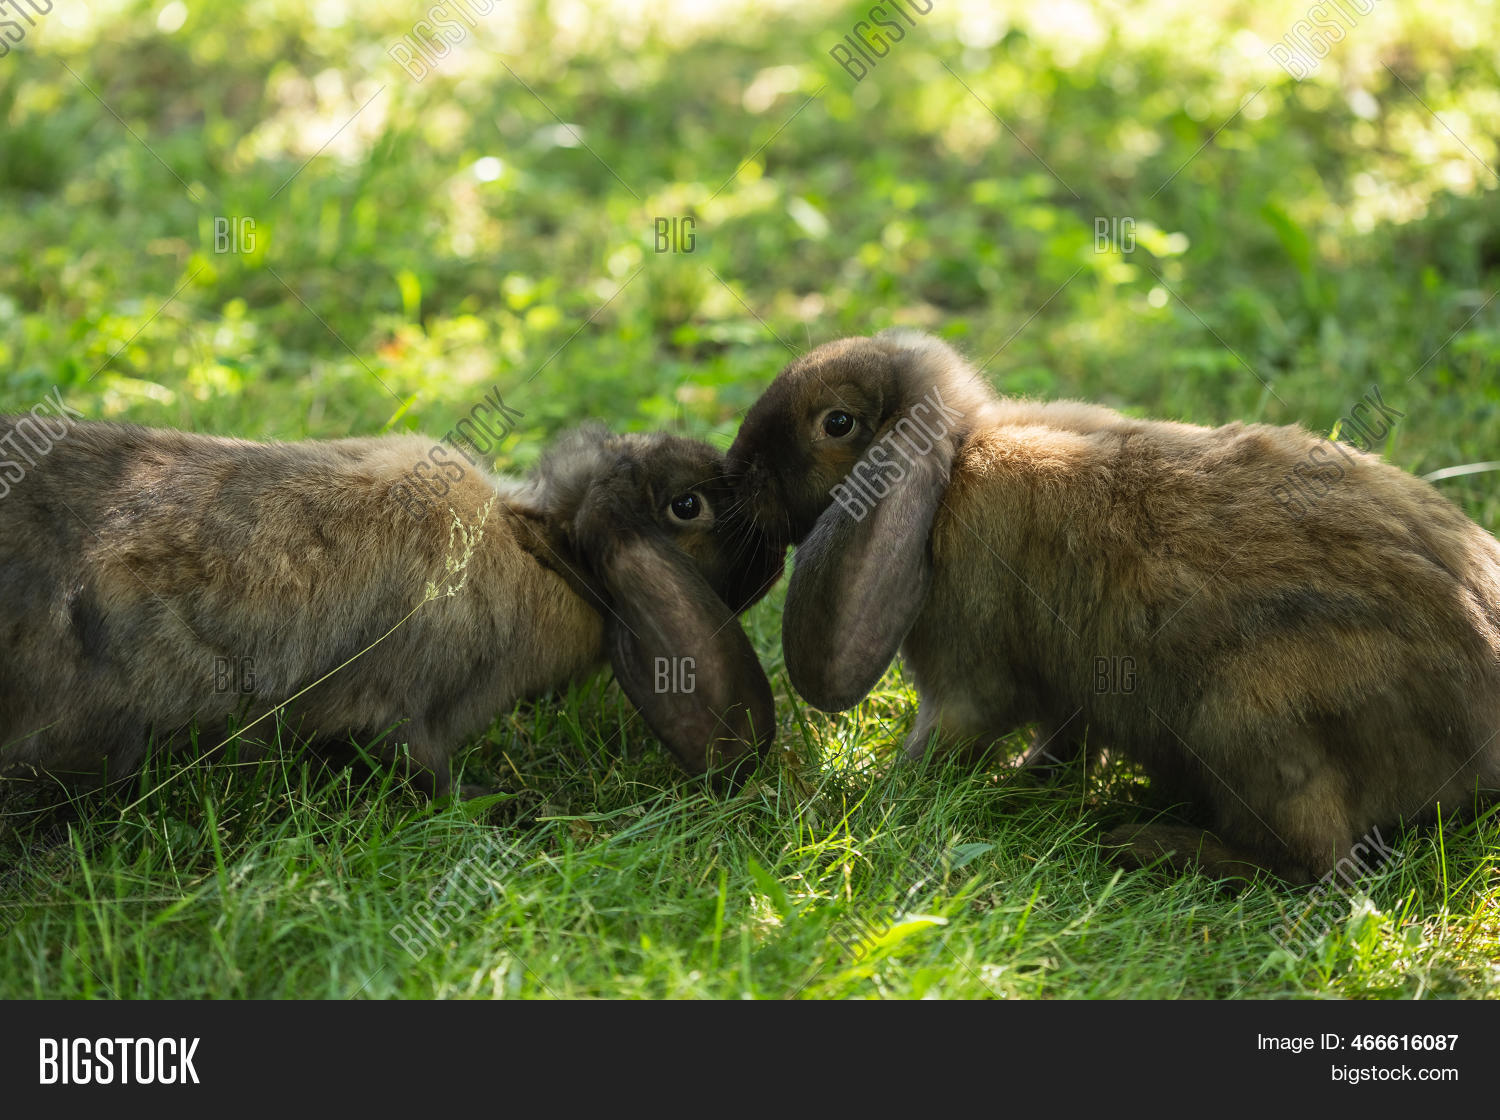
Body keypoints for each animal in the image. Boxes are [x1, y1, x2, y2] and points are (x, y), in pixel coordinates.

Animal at [0, 416, 785, 799]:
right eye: (688, 506)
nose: (779, 544)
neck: (541, 551)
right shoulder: (405, 707)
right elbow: (426, 768)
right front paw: (503, 805)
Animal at [725, 328, 1500, 883]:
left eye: (836, 422)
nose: (737, 468)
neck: (949, 476)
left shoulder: (969, 681)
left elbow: (949, 736)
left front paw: (876, 795)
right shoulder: (1063, 694)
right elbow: (1063, 736)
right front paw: (1030, 778)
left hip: (1251, 717)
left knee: (1318, 866)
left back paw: (1149, 845)